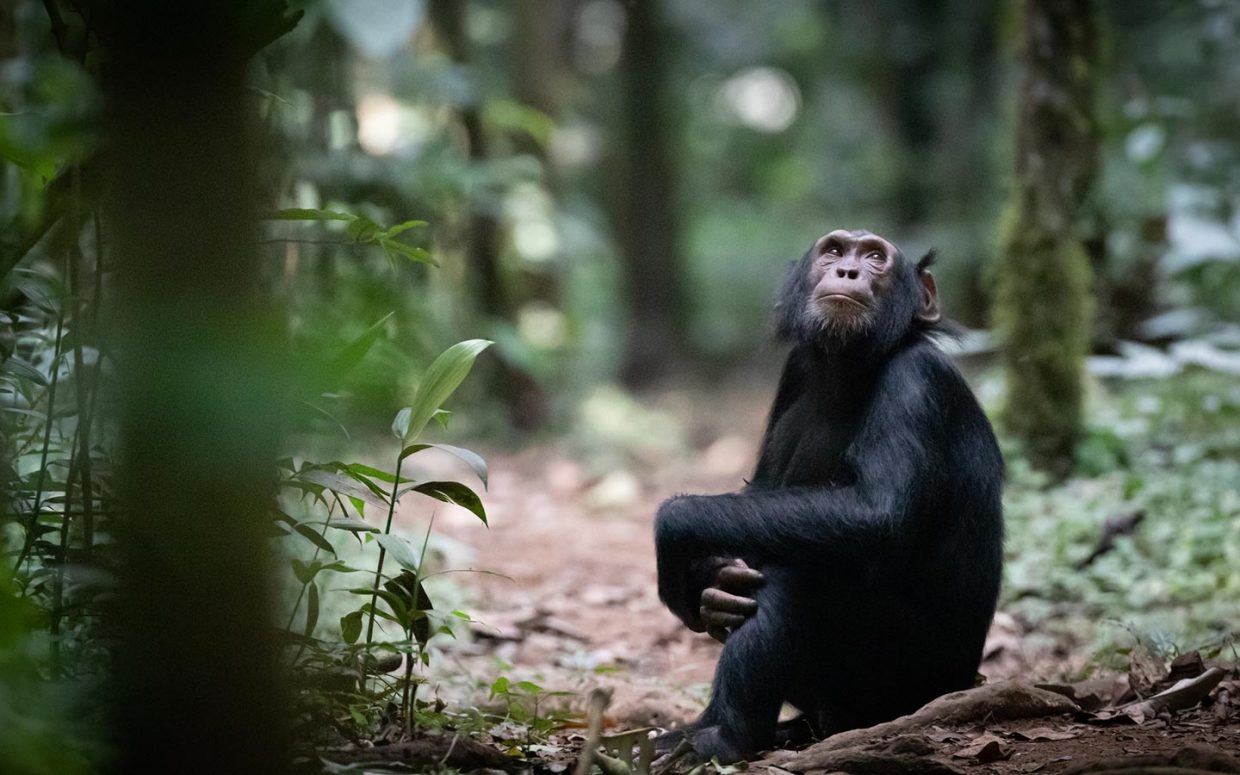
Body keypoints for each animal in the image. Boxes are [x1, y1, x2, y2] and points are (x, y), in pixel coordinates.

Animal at [654, 228, 1001, 763]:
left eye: (876, 257)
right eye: (834, 251)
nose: (848, 271)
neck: (851, 367)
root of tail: (965, 681)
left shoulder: (917, 382)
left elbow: (877, 513)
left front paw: (676, 534)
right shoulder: (795, 370)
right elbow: (762, 491)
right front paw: (713, 584)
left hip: (904, 682)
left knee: (800, 573)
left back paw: (725, 738)